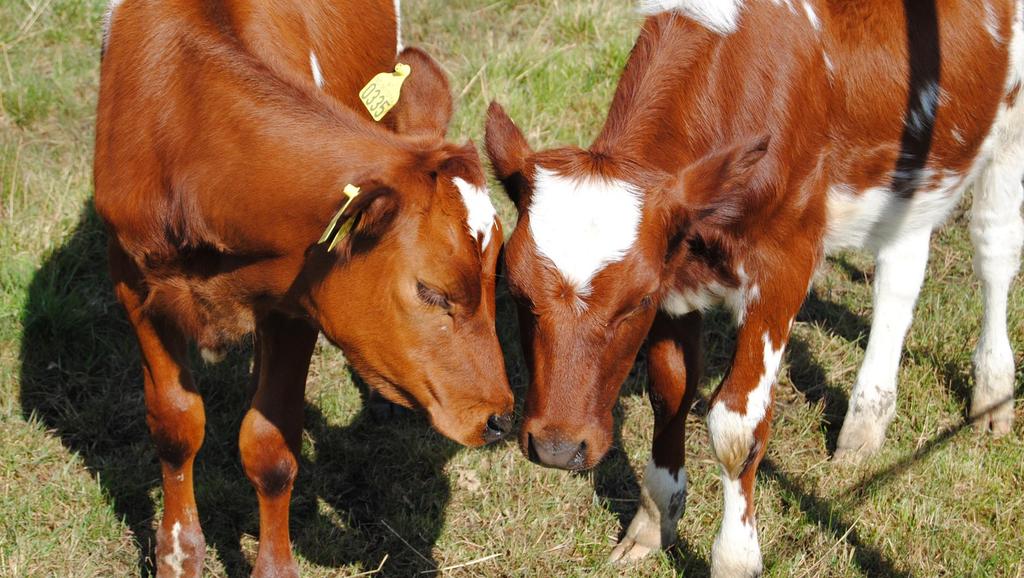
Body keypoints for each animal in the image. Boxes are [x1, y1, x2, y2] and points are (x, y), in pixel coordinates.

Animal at [96, 2, 512, 573]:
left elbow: (271, 448)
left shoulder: (296, 306)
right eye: (431, 291)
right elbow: (175, 425)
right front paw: (178, 555)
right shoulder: (134, 285)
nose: (500, 418)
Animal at [483, 2, 1019, 573]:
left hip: (1009, 130)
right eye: (518, 292)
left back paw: (993, 392)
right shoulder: (677, 269)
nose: (557, 449)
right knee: (901, 268)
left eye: (637, 301)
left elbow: (737, 424)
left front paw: (735, 557)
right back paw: (866, 421)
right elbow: (671, 391)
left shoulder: (785, 261)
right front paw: (653, 522)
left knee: (994, 249)